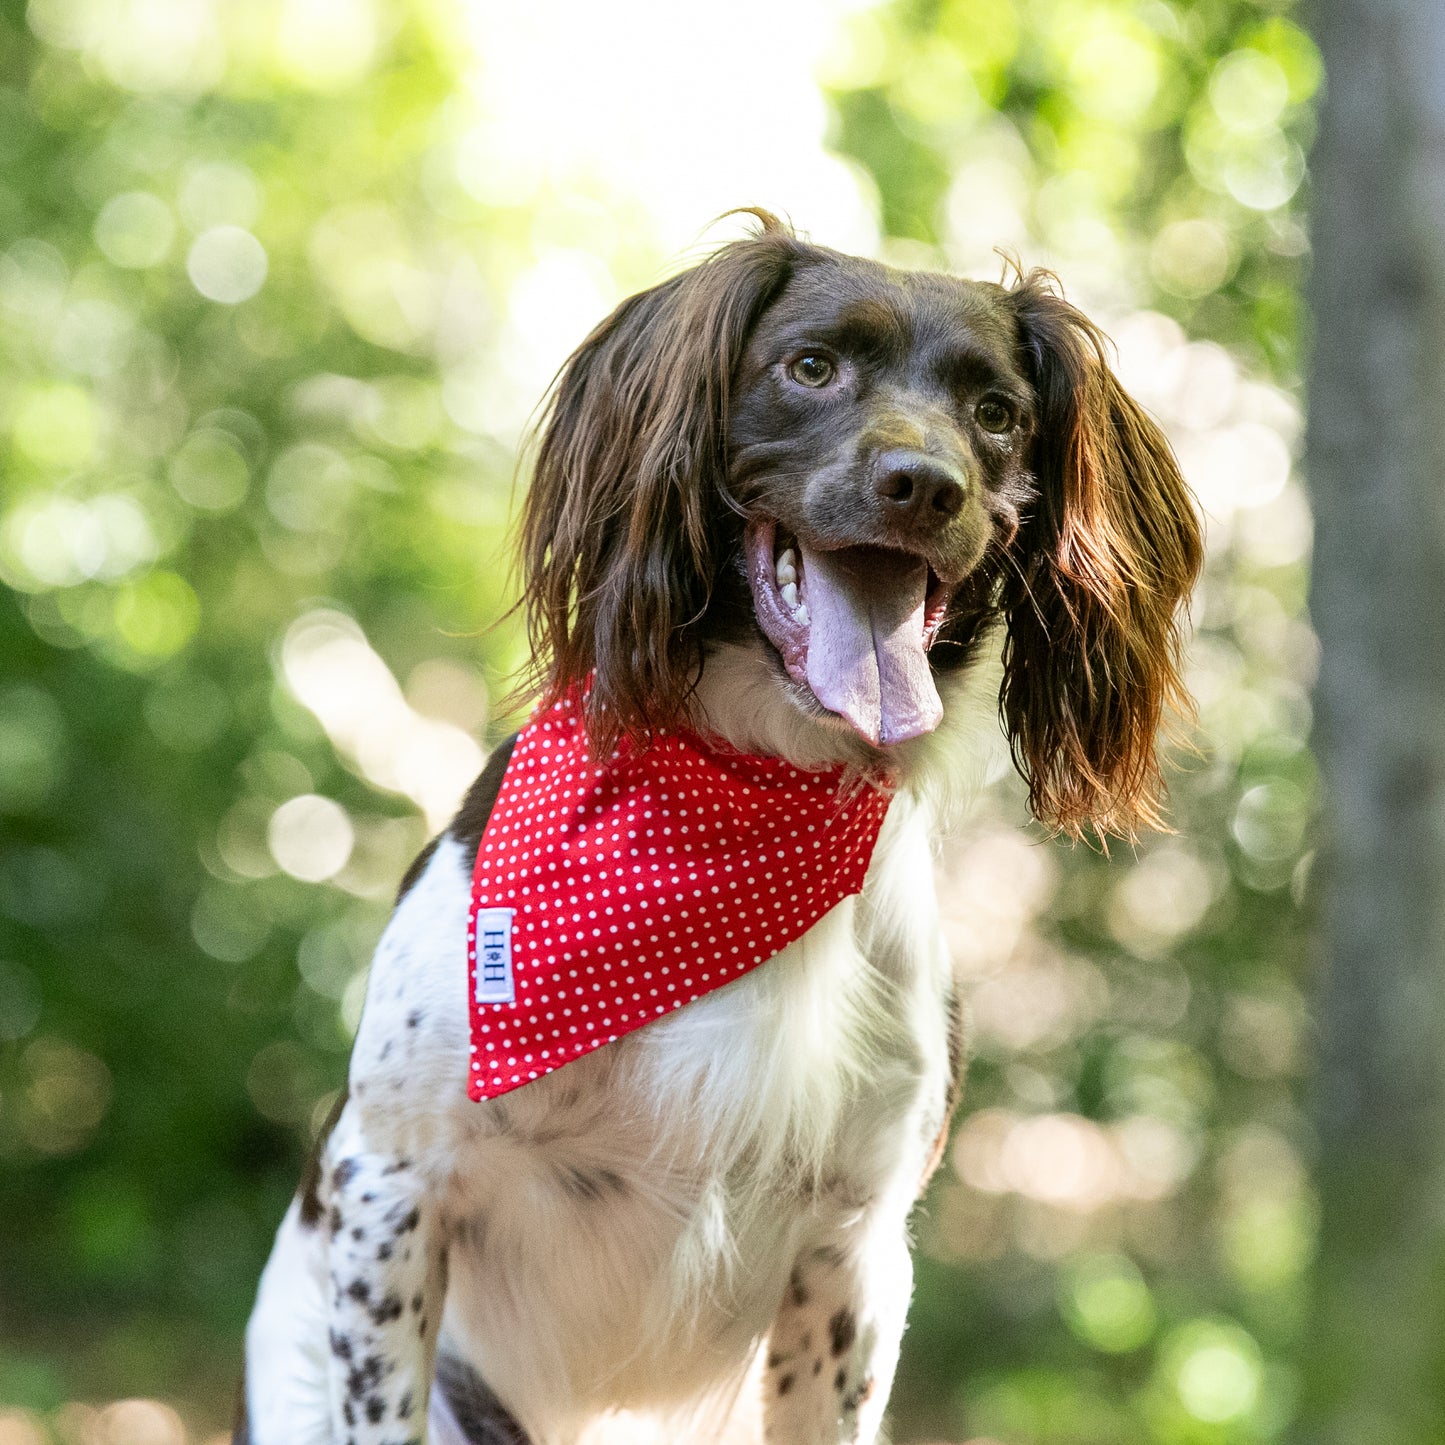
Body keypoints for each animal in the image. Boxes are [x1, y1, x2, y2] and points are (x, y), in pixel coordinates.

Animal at [236, 206, 1202, 1445]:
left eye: (994, 413)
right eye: (809, 366)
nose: (924, 485)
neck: (744, 794)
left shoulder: (854, 1245)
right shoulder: (391, 1178)